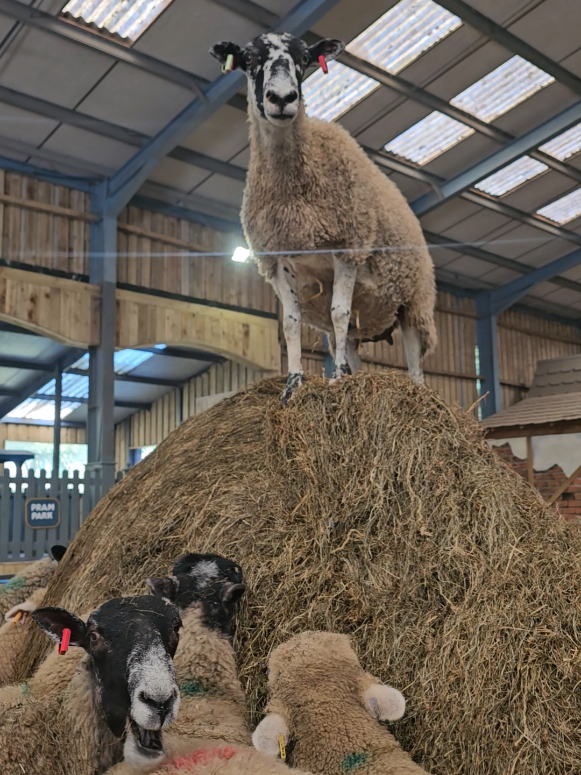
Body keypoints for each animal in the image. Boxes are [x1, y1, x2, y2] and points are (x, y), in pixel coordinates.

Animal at [210, 34, 437, 404]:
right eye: (249, 59)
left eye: (305, 59)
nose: (283, 99)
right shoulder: (278, 259)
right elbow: (290, 322)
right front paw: (294, 384)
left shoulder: (347, 248)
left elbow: (337, 312)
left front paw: (335, 380)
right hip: (367, 315)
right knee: (351, 340)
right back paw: (352, 374)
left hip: (413, 300)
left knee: (414, 357)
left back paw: (415, 394)